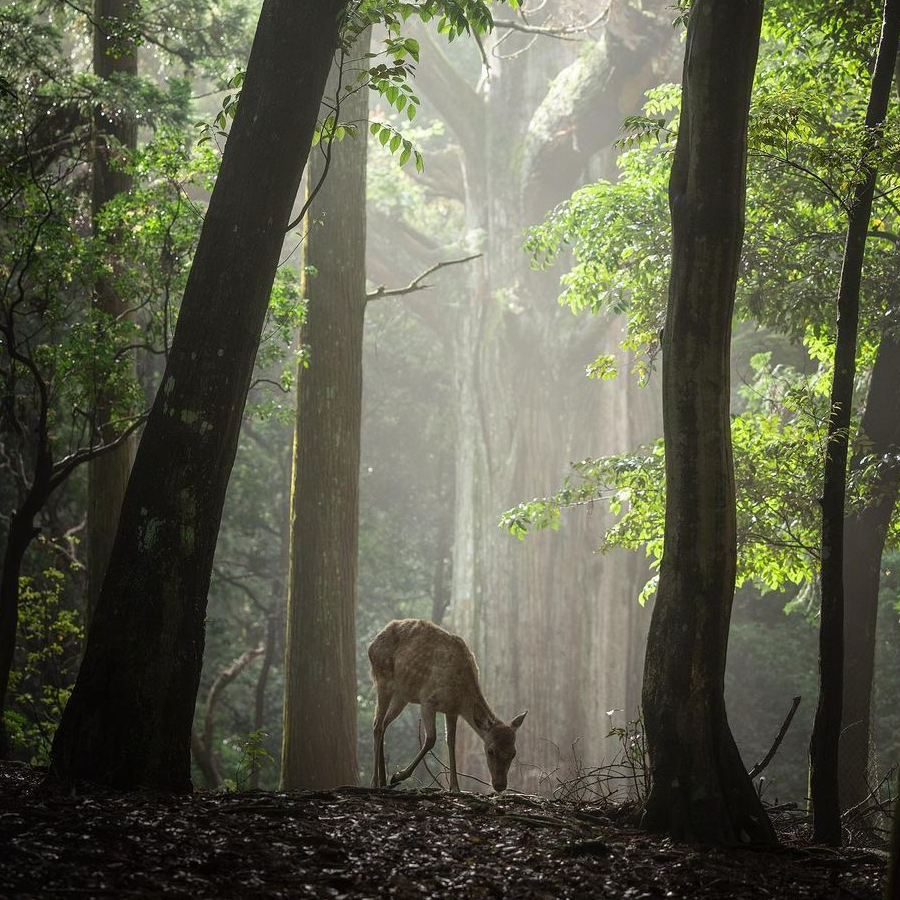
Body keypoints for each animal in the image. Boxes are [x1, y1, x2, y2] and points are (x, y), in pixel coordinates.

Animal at [368, 620, 528, 796]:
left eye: (514, 753)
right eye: (490, 751)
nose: (500, 785)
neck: (460, 697)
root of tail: (371, 645)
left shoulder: (452, 711)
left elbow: (451, 742)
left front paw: (455, 787)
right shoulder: (428, 700)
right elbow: (431, 739)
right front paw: (398, 775)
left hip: (401, 695)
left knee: (384, 724)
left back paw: (384, 781)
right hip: (383, 679)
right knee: (377, 725)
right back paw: (375, 782)